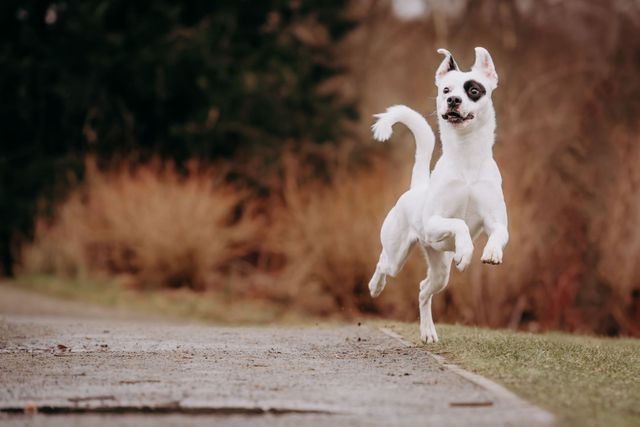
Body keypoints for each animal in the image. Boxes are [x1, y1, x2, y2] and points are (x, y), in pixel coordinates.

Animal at [368, 47, 508, 344]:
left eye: (474, 90)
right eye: (445, 89)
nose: (453, 100)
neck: (467, 159)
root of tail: (416, 187)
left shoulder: (497, 221)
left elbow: (498, 234)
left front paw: (491, 251)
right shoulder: (433, 222)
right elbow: (460, 223)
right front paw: (465, 251)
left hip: (440, 270)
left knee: (423, 289)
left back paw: (428, 332)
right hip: (398, 254)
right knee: (384, 263)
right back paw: (375, 286)